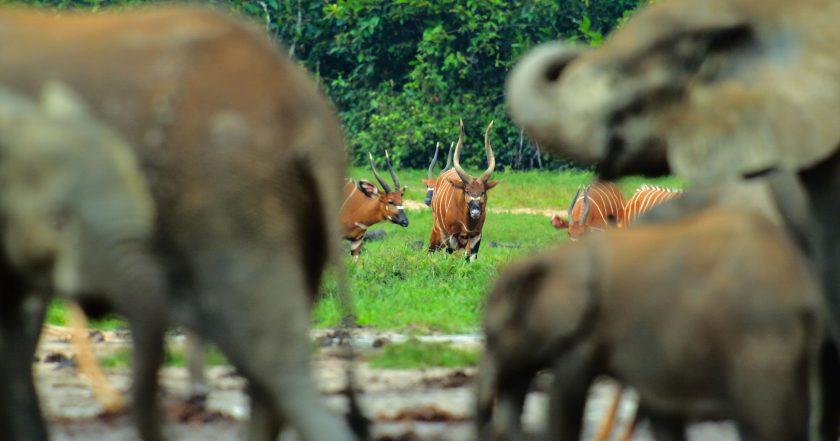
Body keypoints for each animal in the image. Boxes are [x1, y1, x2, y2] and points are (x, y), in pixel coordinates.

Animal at [430, 118, 496, 260]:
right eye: (467, 191)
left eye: (483, 192)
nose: (475, 212)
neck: (467, 225)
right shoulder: (451, 236)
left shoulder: (476, 236)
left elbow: (470, 258)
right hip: (439, 229)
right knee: (434, 248)